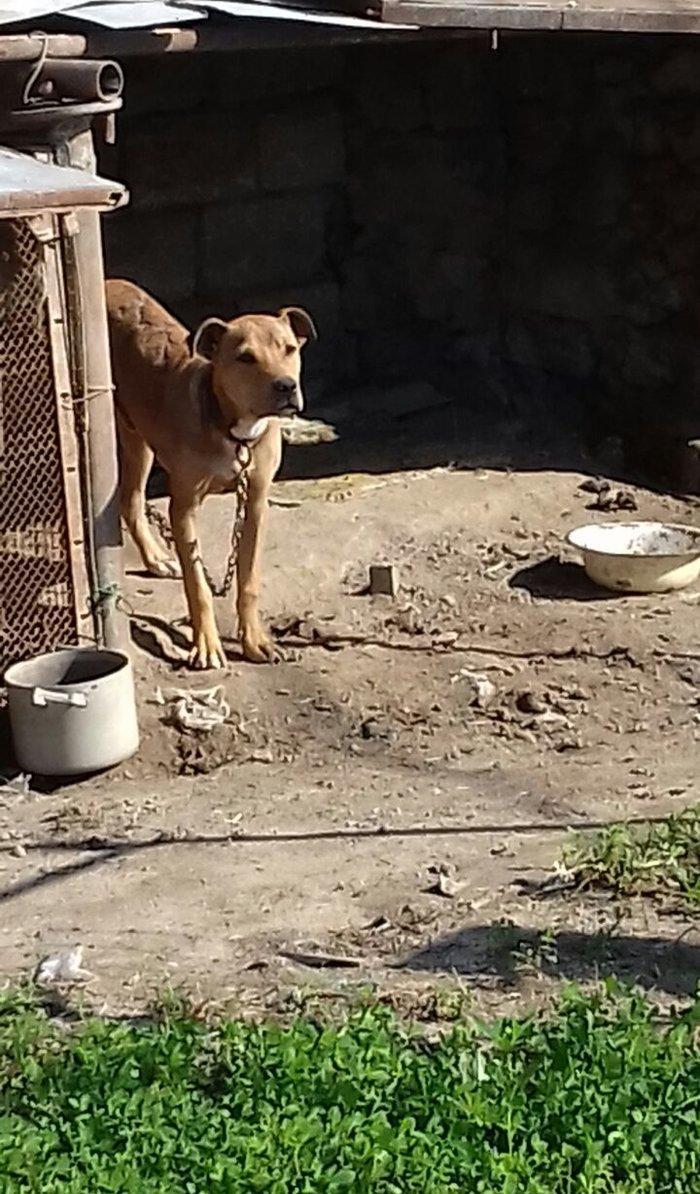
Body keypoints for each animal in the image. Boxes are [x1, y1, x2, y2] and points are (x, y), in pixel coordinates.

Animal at [106, 279, 316, 669]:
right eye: (245, 357)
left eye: (290, 349)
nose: (286, 386)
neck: (233, 431)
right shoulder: (183, 507)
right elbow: (198, 584)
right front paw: (206, 644)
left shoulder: (256, 503)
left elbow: (248, 580)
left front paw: (255, 641)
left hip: (138, 439)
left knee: (131, 499)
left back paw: (155, 558)